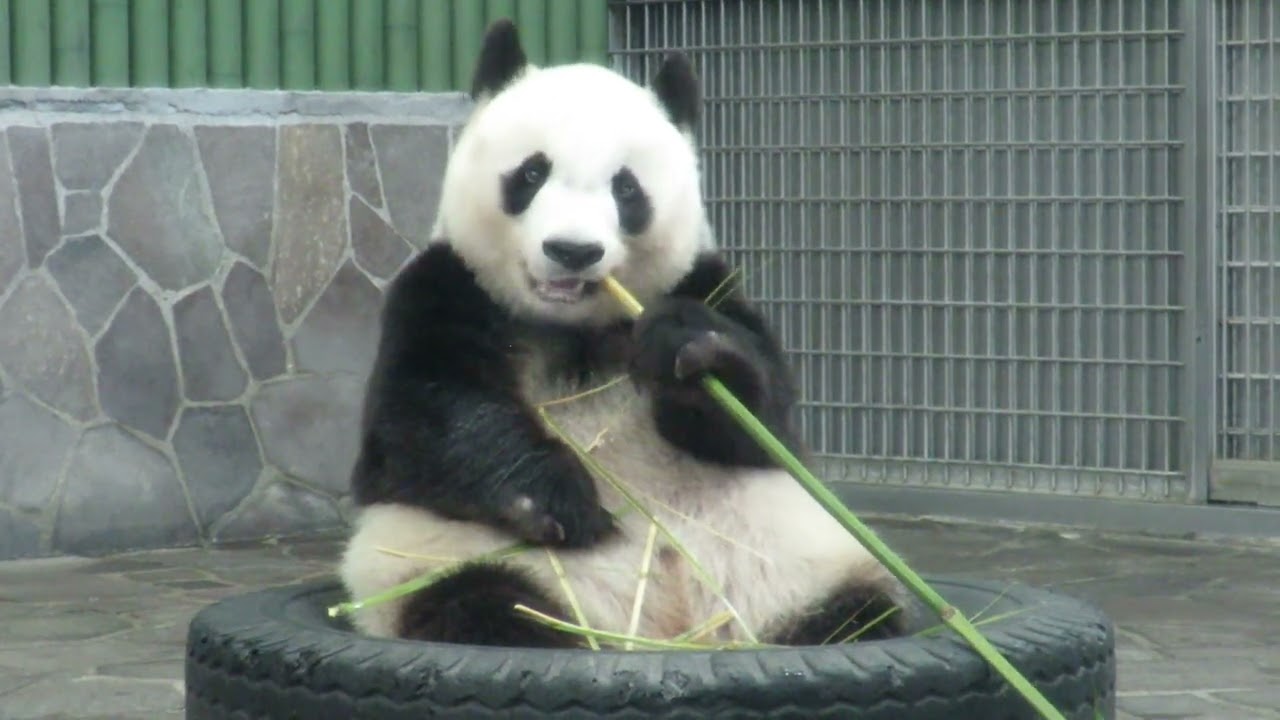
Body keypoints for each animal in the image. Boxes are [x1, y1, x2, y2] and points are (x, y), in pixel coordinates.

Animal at [338, 18, 908, 649]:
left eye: (627, 189)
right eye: (531, 173)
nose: (573, 250)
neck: (576, 328)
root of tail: (661, 629)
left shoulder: (703, 281)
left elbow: (766, 422)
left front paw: (688, 351)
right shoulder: (447, 288)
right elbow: (420, 419)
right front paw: (556, 493)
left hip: (791, 568)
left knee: (855, 616)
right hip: (447, 562)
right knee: (482, 608)